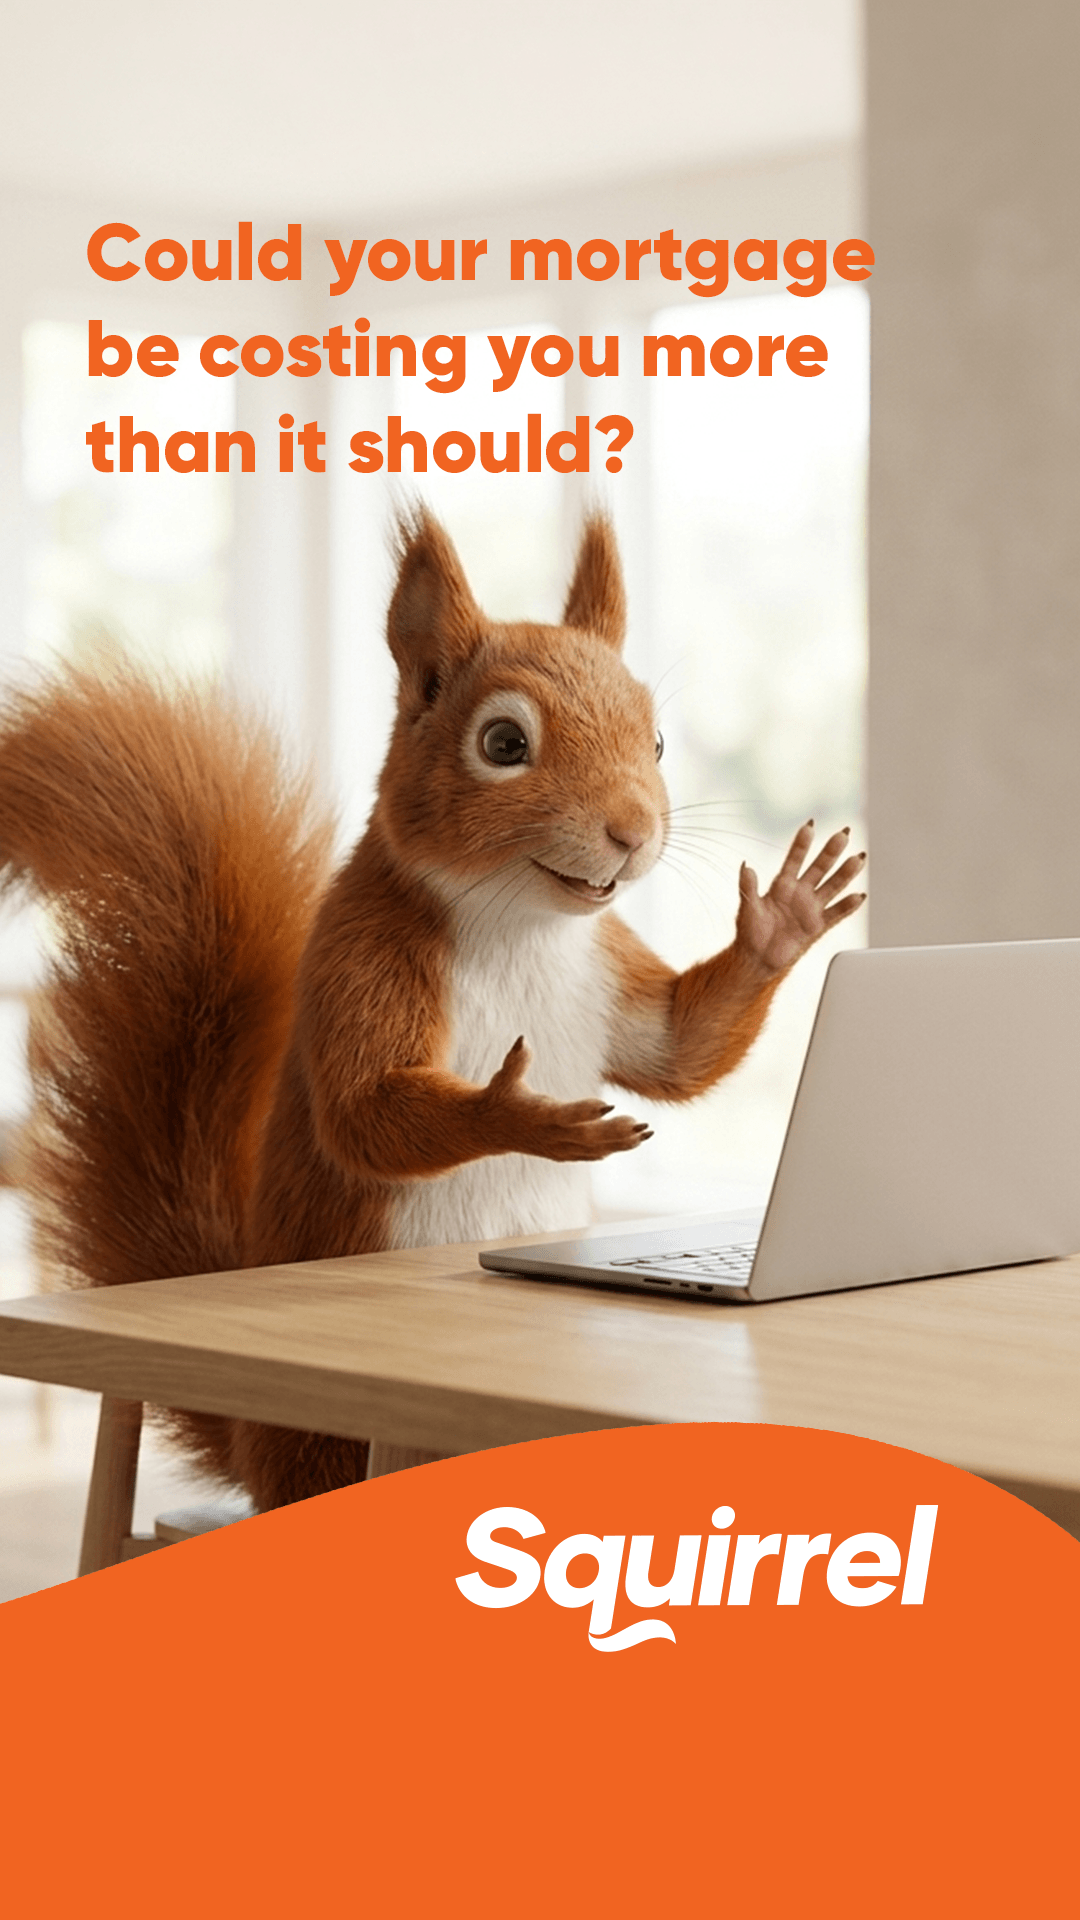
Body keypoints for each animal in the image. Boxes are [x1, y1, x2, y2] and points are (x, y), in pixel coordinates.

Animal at [0, 510, 866, 1510]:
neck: (522, 924)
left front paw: (783, 919)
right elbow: (363, 1110)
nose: (634, 832)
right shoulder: (365, 953)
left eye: (655, 742)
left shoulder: (606, 970)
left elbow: (675, 1049)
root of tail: (254, 1453)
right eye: (503, 744)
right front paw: (522, 1113)